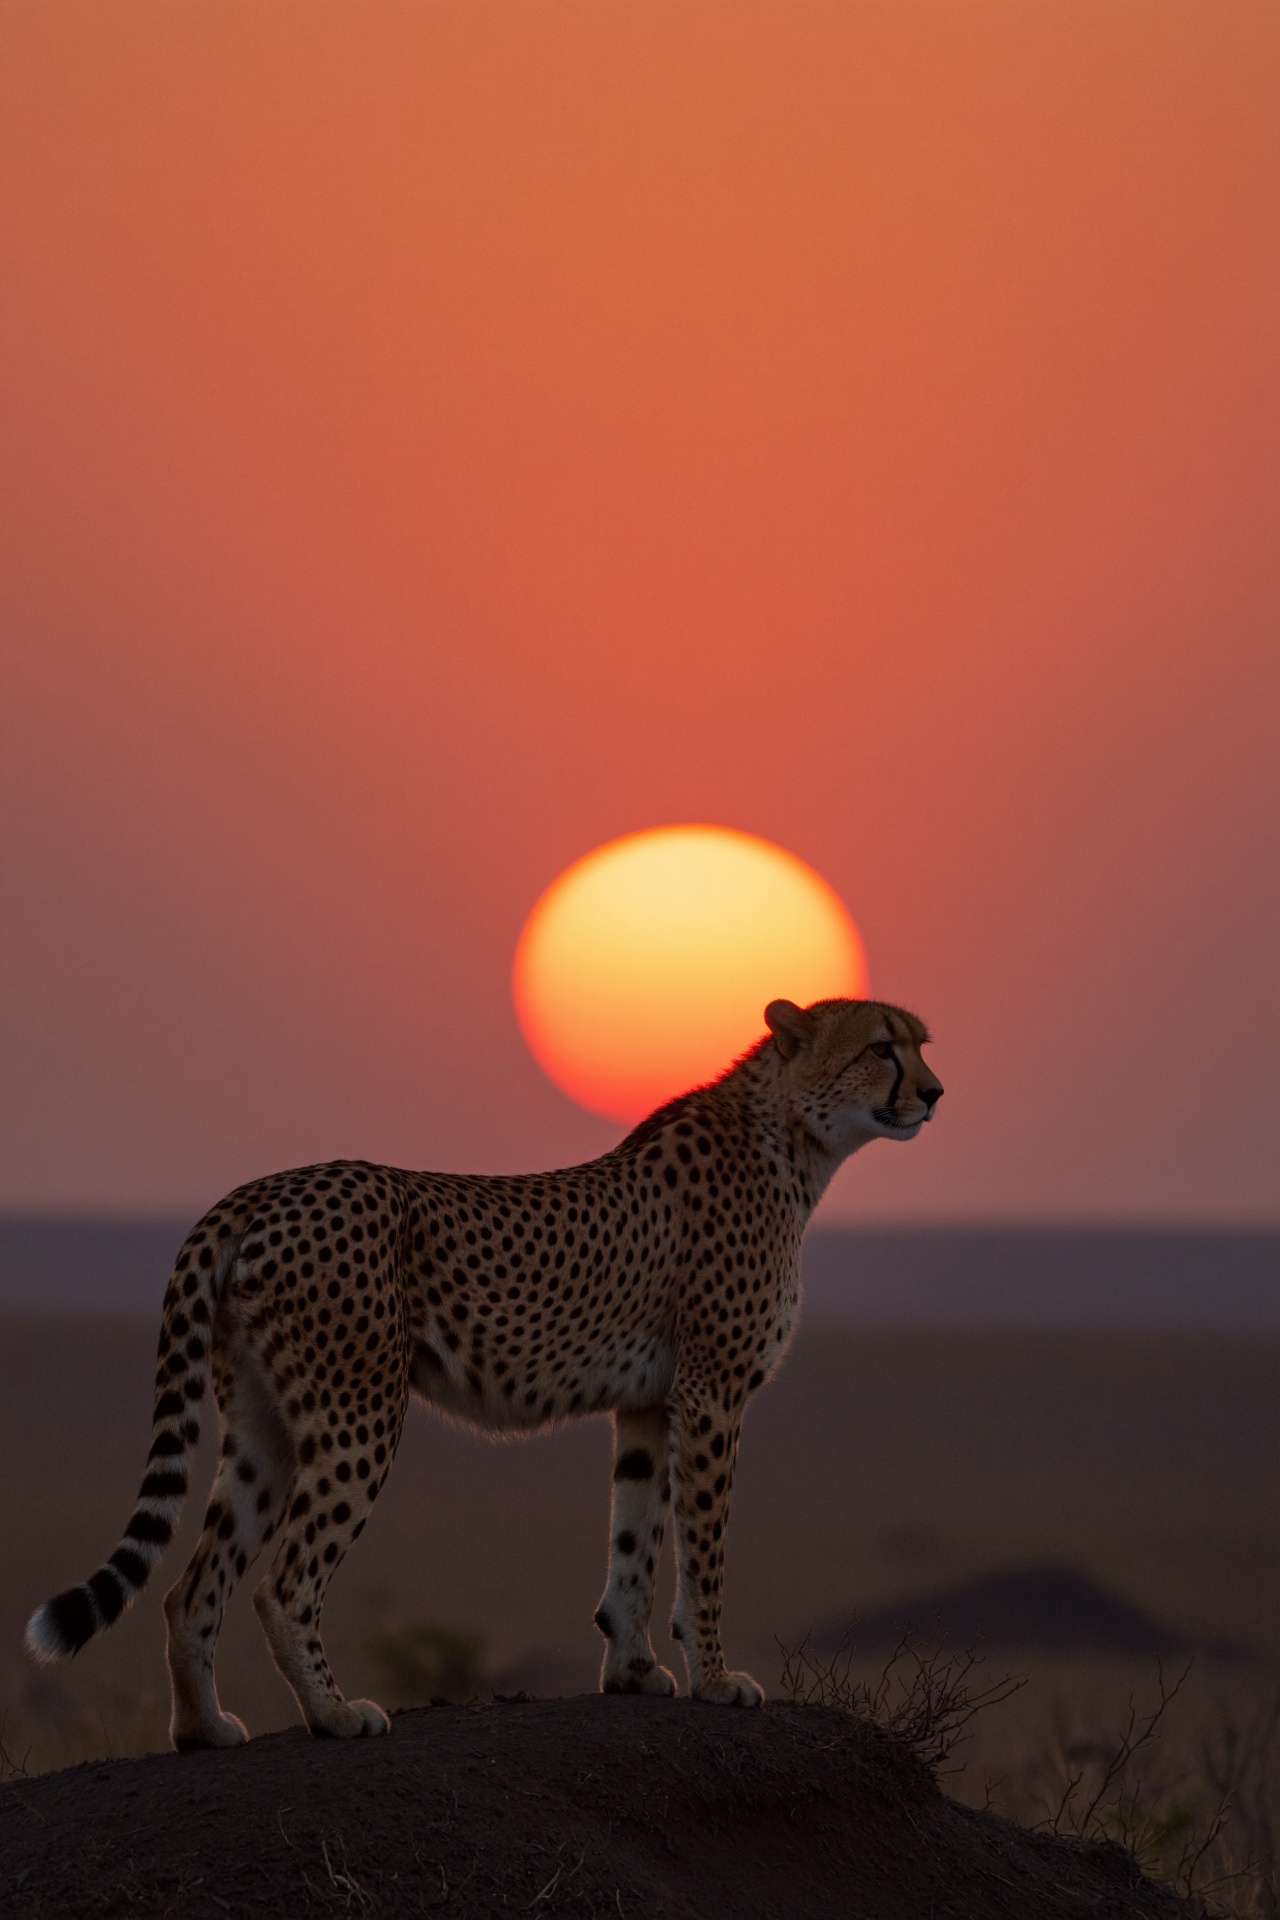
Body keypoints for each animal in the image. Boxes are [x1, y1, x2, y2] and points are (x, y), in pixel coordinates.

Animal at [26, 996, 942, 1748]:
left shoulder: (650, 1403)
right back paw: (335, 1714)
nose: (934, 1093)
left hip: (261, 1425)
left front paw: (632, 1670)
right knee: (284, 1582)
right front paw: (715, 1680)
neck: (790, 1136)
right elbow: (703, 1547)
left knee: (192, 1587)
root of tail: (261, 1189)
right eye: (881, 1048)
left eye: (920, 1044)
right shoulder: (711, 1393)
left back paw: (203, 1729)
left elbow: (637, 1536)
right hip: (358, 1413)